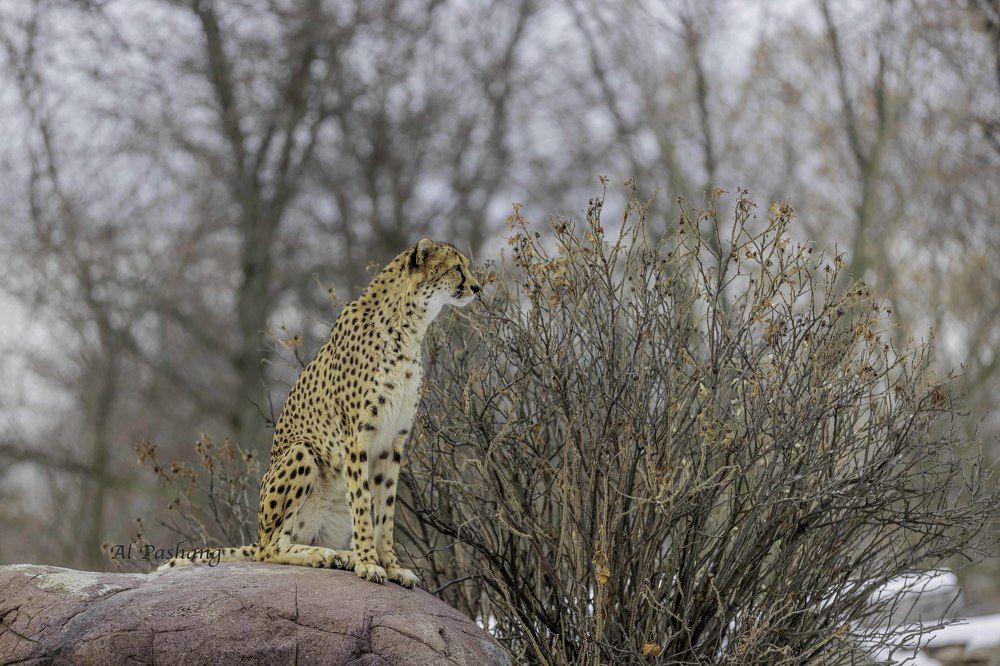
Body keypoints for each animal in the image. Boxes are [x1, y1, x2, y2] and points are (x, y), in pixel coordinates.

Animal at [159, 238, 480, 586]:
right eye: (457, 267)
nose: (477, 287)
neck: (409, 325)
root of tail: (257, 534)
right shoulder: (356, 437)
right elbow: (363, 504)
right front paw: (369, 564)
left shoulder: (393, 440)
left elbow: (385, 510)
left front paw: (391, 565)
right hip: (302, 452)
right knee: (270, 549)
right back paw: (324, 555)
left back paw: (341, 554)